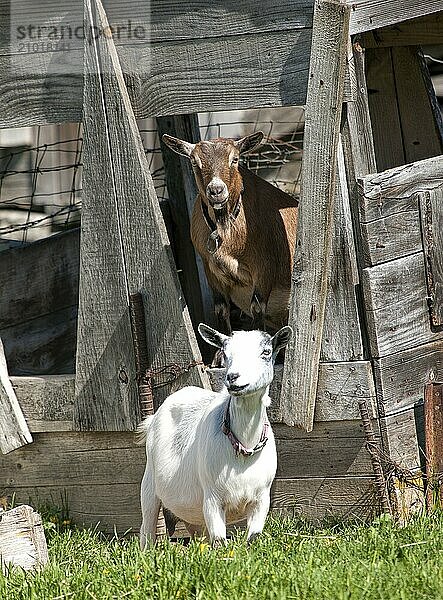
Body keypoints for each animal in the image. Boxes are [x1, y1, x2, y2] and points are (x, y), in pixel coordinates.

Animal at [139, 324, 292, 548]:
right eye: (225, 354)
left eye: (266, 352)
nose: (233, 377)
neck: (244, 448)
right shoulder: (212, 498)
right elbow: (219, 542)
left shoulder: (261, 499)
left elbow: (253, 539)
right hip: (149, 485)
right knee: (146, 529)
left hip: (193, 515)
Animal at [162, 132, 298, 336]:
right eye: (194, 161)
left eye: (235, 159)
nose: (216, 191)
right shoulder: (211, 270)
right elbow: (221, 311)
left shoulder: (265, 268)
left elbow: (257, 309)